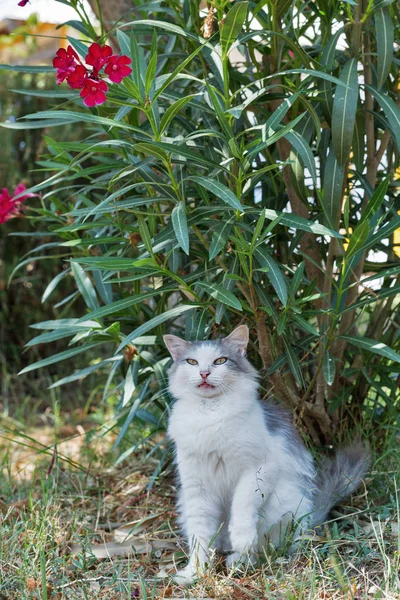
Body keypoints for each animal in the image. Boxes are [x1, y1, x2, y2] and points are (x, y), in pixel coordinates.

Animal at [164, 326, 370, 584]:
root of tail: (310, 514)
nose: (203, 373)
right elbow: (199, 538)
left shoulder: (257, 469)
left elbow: (241, 509)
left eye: (220, 361)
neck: (210, 414)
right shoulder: (196, 487)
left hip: (279, 505)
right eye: (191, 362)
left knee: (261, 548)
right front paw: (194, 572)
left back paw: (238, 561)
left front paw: (240, 540)